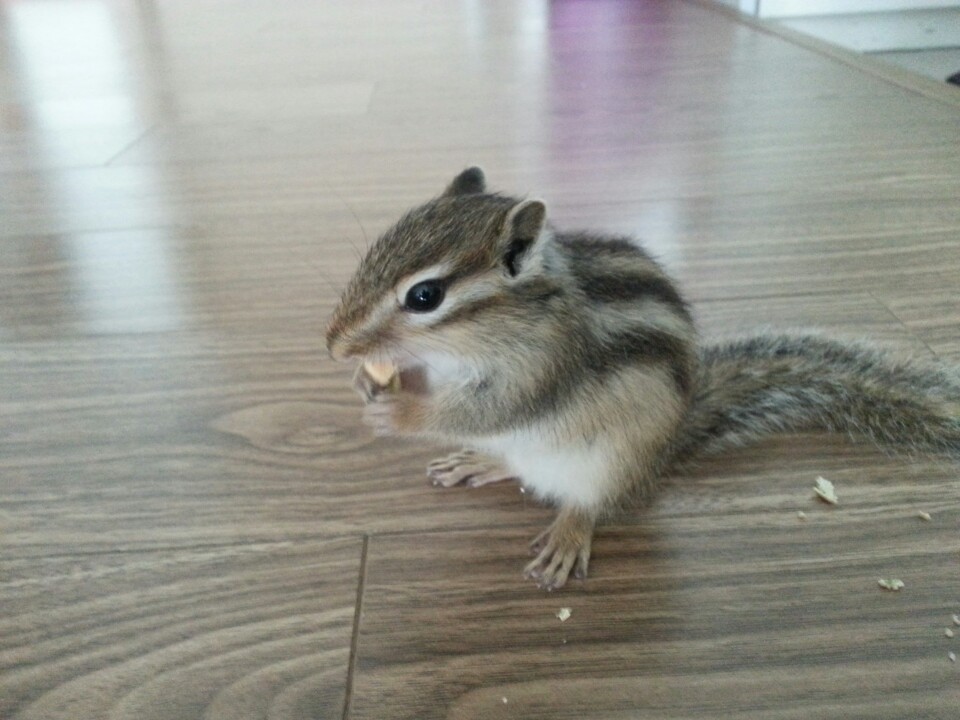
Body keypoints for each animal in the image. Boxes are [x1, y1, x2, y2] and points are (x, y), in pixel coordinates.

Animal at [326, 167, 960, 590]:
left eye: (425, 296)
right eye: (378, 246)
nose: (331, 343)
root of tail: (661, 457)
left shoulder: (540, 372)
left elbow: (483, 409)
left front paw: (399, 411)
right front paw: (365, 379)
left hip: (608, 463)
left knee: (590, 503)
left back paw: (568, 534)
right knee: (515, 462)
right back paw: (481, 461)